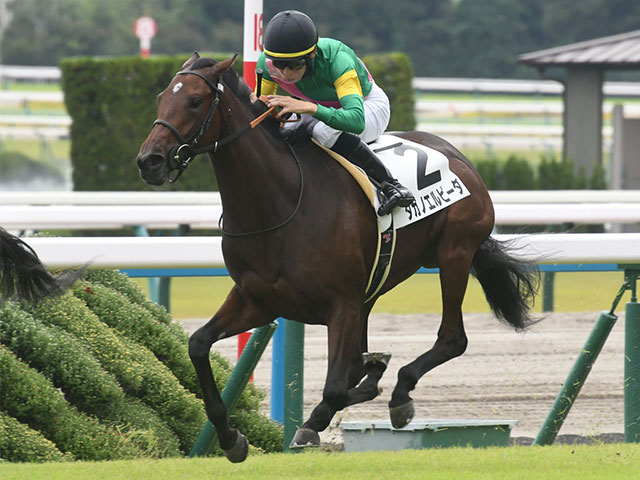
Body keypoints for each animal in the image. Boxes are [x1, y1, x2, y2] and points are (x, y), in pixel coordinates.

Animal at [136, 53, 539, 462]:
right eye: (161, 98)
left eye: (195, 101)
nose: (149, 161)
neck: (279, 204)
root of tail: (459, 157)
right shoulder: (258, 300)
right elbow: (198, 344)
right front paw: (231, 438)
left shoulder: (341, 304)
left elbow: (336, 387)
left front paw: (315, 423)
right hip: (375, 286)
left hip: (454, 252)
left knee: (452, 339)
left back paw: (400, 393)